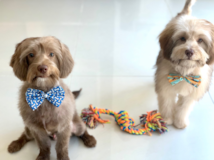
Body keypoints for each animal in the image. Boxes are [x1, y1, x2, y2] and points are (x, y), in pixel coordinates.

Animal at [155, 0, 214, 129]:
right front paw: (166, 119)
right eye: (182, 38)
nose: (189, 51)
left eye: (200, 40)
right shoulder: (166, 87)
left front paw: (179, 122)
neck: (184, 72)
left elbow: (183, 108)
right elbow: (167, 104)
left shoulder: (192, 91)